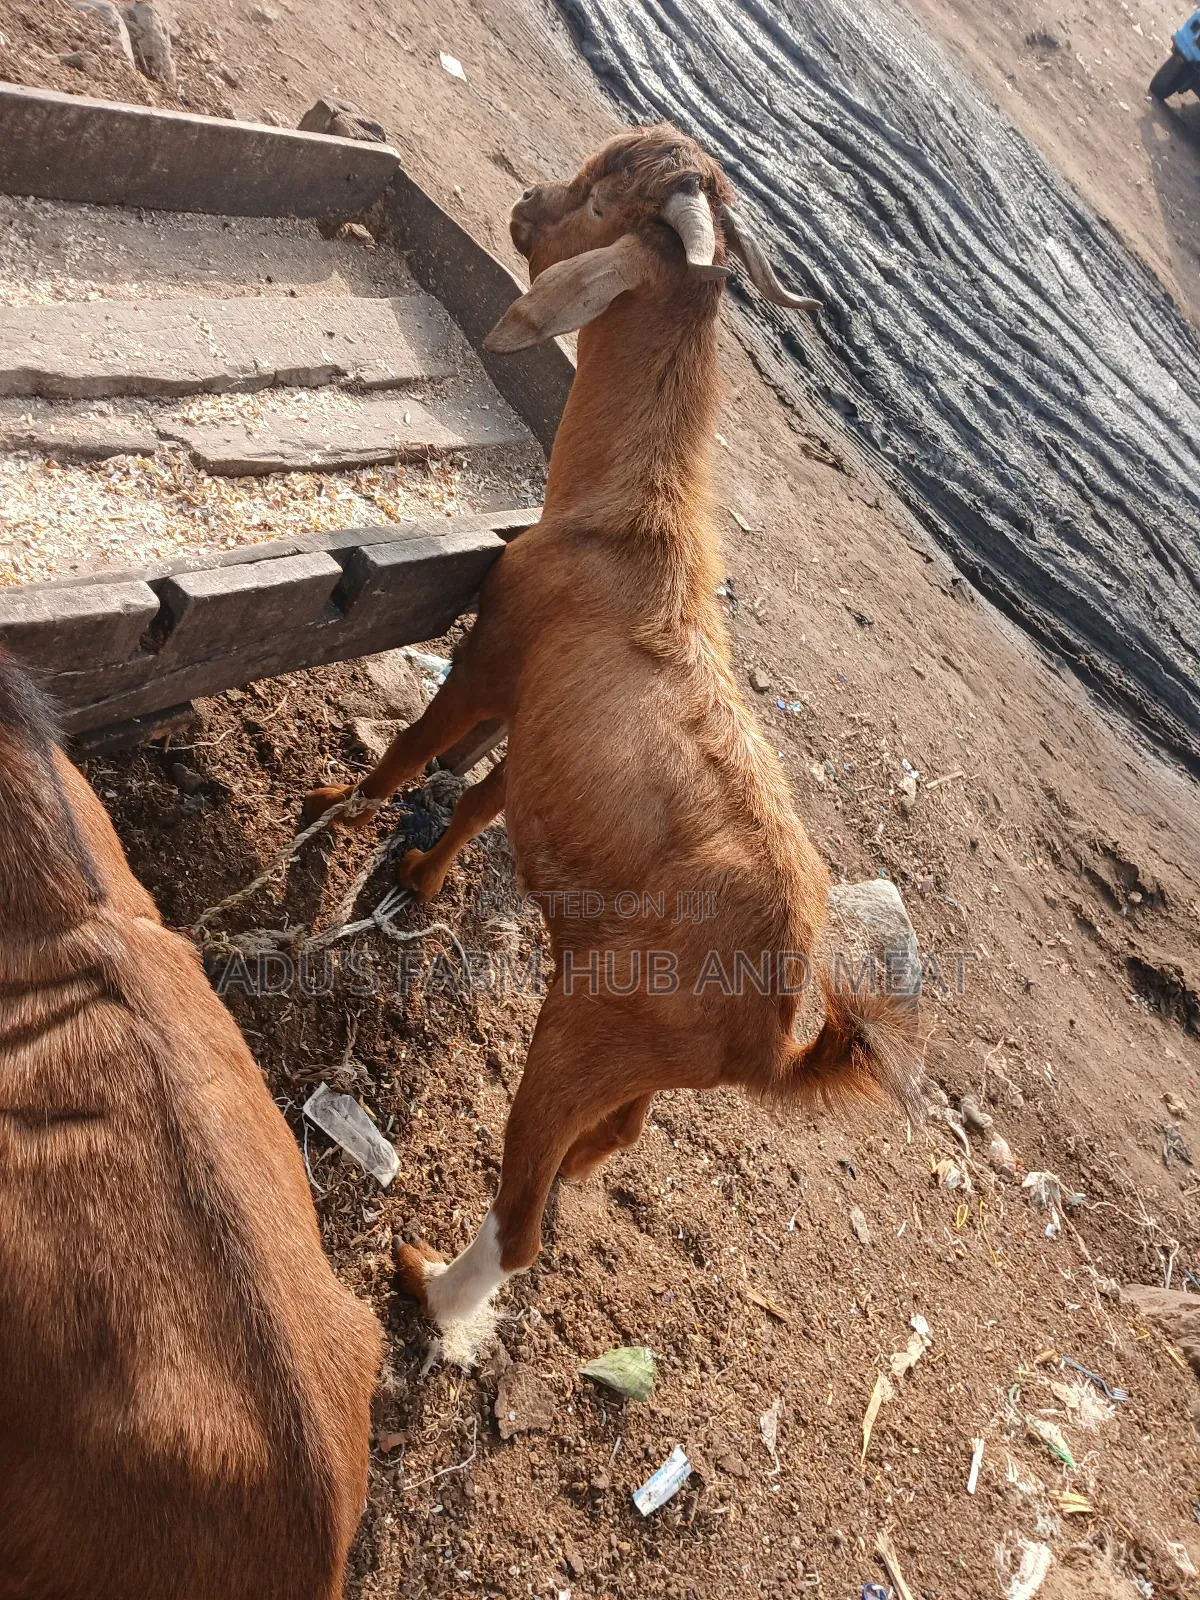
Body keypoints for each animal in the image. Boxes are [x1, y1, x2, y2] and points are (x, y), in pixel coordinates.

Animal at [303, 125, 922, 1354]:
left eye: (599, 198)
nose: (526, 206)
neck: (628, 523)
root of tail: (779, 1026)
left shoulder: (493, 654)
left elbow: (415, 751)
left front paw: (335, 813)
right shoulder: (536, 720)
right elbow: (485, 798)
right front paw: (418, 873)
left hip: (589, 1023)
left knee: (527, 1214)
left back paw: (425, 1282)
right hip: (642, 1060)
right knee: (614, 1142)